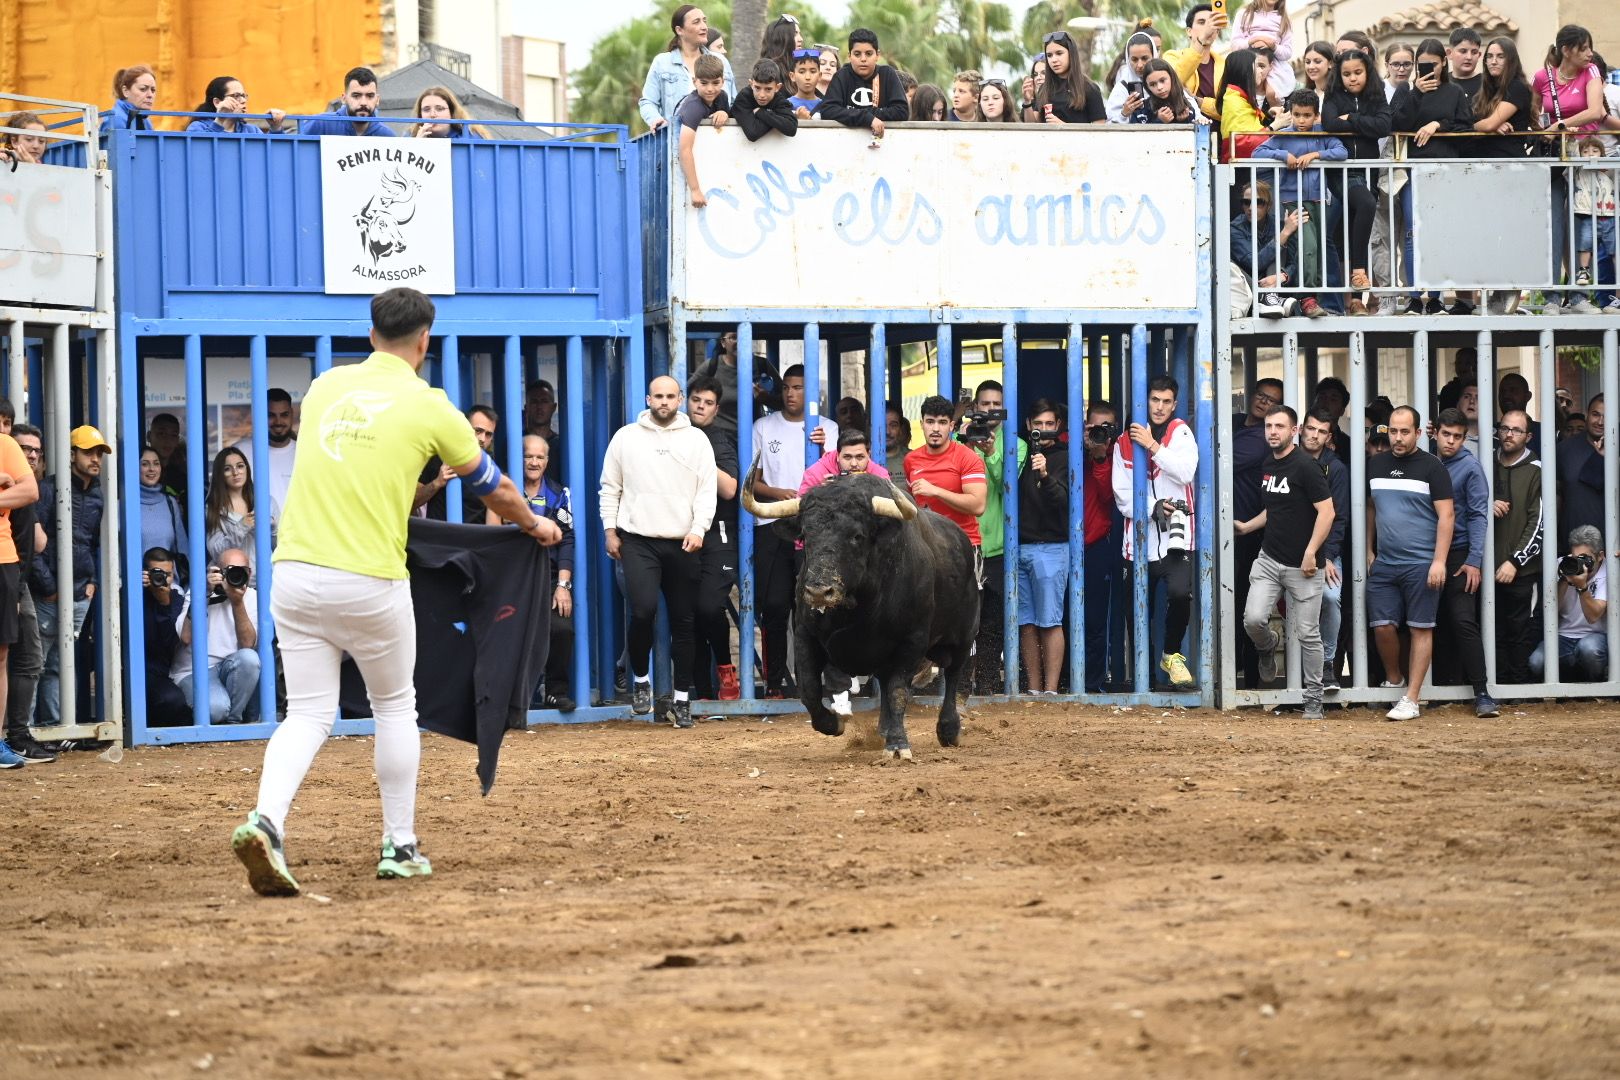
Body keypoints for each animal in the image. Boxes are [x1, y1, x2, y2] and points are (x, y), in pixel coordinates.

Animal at [741, 466, 978, 761]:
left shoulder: (911, 642)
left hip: (962, 636)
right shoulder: (805, 636)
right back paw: (884, 729)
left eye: (856, 535)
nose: (819, 591)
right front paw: (833, 723)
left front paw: (898, 745)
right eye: (805, 535)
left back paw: (948, 729)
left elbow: (899, 692)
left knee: (953, 674)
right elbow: (809, 690)